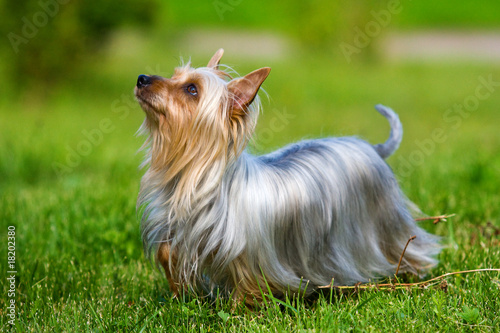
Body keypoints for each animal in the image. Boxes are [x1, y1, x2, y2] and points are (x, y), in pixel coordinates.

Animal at [134, 49, 442, 304]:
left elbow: (248, 283)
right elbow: (168, 255)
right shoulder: (177, 232)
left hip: (384, 224)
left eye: (192, 90)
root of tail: (373, 148)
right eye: (174, 75)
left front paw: (241, 310)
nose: (141, 78)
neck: (196, 178)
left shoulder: (249, 257)